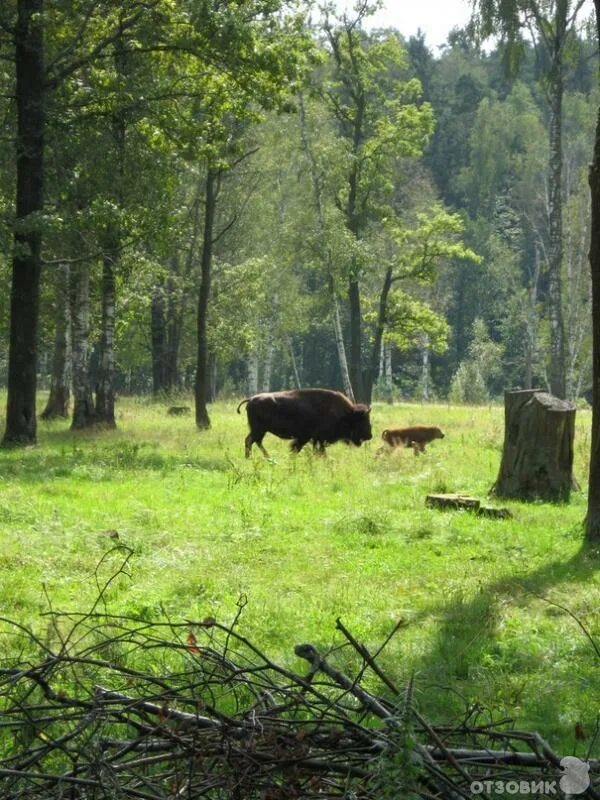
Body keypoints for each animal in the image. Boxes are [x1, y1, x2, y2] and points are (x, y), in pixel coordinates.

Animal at [237, 388, 372, 456]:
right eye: (362, 421)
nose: (369, 435)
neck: (347, 414)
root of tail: (251, 399)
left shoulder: (312, 439)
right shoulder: (314, 438)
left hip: (260, 430)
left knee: (255, 442)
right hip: (259, 430)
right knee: (250, 441)